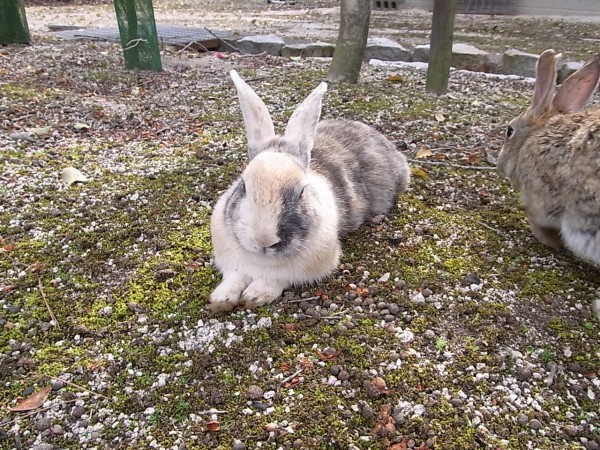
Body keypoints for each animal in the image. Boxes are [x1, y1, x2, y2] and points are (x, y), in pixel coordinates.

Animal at [209, 71, 410, 312]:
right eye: (243, 185)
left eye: (301, 192)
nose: (264, 240)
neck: (262, 261)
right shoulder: (233, 265)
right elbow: (233, 278)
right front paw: (221, 301)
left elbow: (274, 280)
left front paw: (254, 296)